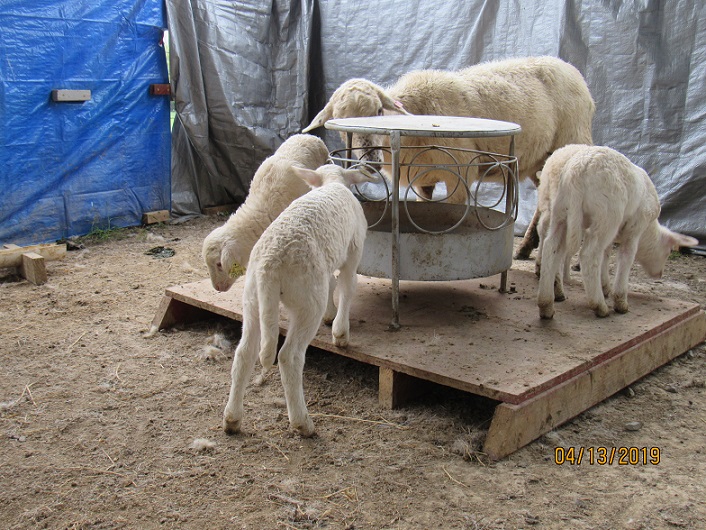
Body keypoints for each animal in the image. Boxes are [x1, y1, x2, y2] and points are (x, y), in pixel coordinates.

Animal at [221, 163, 374, 436]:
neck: (331, 182)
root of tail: (269, 267)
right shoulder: (353, 252)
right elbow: (347, 288)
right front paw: (340, 334)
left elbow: (332, 284)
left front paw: (330, 316)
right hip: (307, 299)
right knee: (289, 357)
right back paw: (303, 423)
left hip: (251, 299)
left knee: (244, 354)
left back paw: (232, 420)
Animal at [302, 56, 592, 260]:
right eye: (339, 121)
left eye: (378, 111)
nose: (370, 161)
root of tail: (570, 68)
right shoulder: (423, 180)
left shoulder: (461, 174)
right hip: (539, 160)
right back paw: (526, 247)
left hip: (572, 139)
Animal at [536, 143, 696, 318]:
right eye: (668, 252)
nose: (659, 275)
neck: (648, 231)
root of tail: (577, 172)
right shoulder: (634, 229)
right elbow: (626, 258)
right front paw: (620, 301)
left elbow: (606, 254)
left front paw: (605, 285)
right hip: (607, 214)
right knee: (589, 254)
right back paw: (599, 305)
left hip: (561, 211)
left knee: (551, 246)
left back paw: (547, 304)